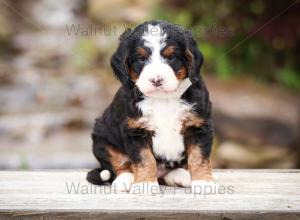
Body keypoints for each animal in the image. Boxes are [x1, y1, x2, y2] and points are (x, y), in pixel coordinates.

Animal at [86, 19, 213, 193]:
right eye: (141, 59)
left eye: (171, 57)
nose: (156, 80)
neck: (163, 99)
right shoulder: (136, 130)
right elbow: (144, 159)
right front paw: (145, 185)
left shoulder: (199, 126)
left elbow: (199, 158)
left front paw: (203, 183)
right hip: (102, 138)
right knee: (119, 164)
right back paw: (125, 179)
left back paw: (182, 176)